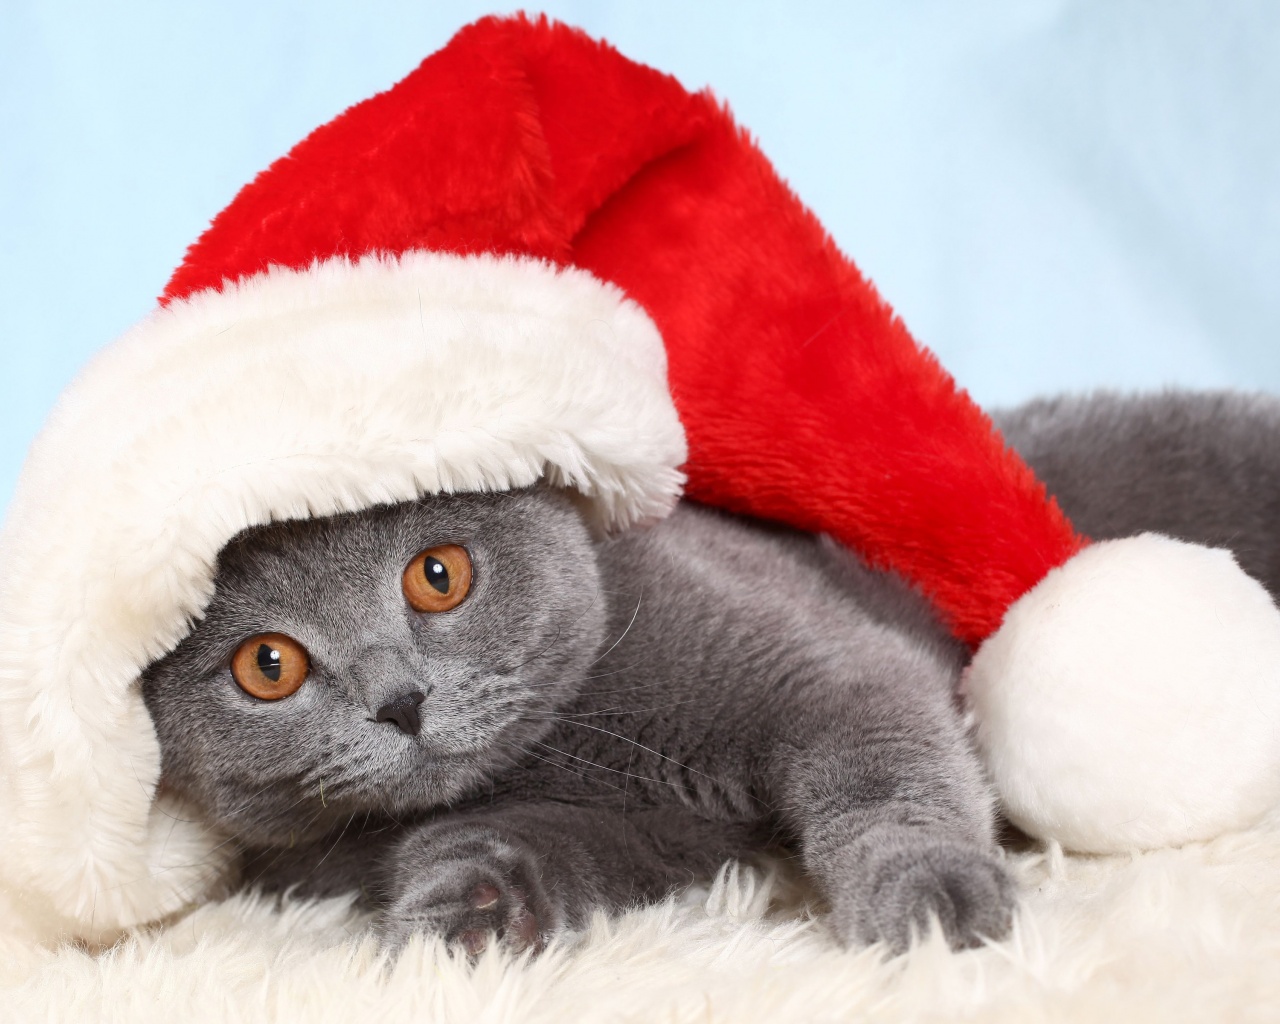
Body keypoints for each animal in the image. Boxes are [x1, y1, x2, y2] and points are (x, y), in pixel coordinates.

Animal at [140, 389, 1280, 957]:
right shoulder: (659, 835)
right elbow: (528, 846)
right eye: (268, 665)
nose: (399, 699)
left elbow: (884, 774)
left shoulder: (829, 667)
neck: (571, 748)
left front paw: (926, 899)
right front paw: (464, 910)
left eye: (438, 574)